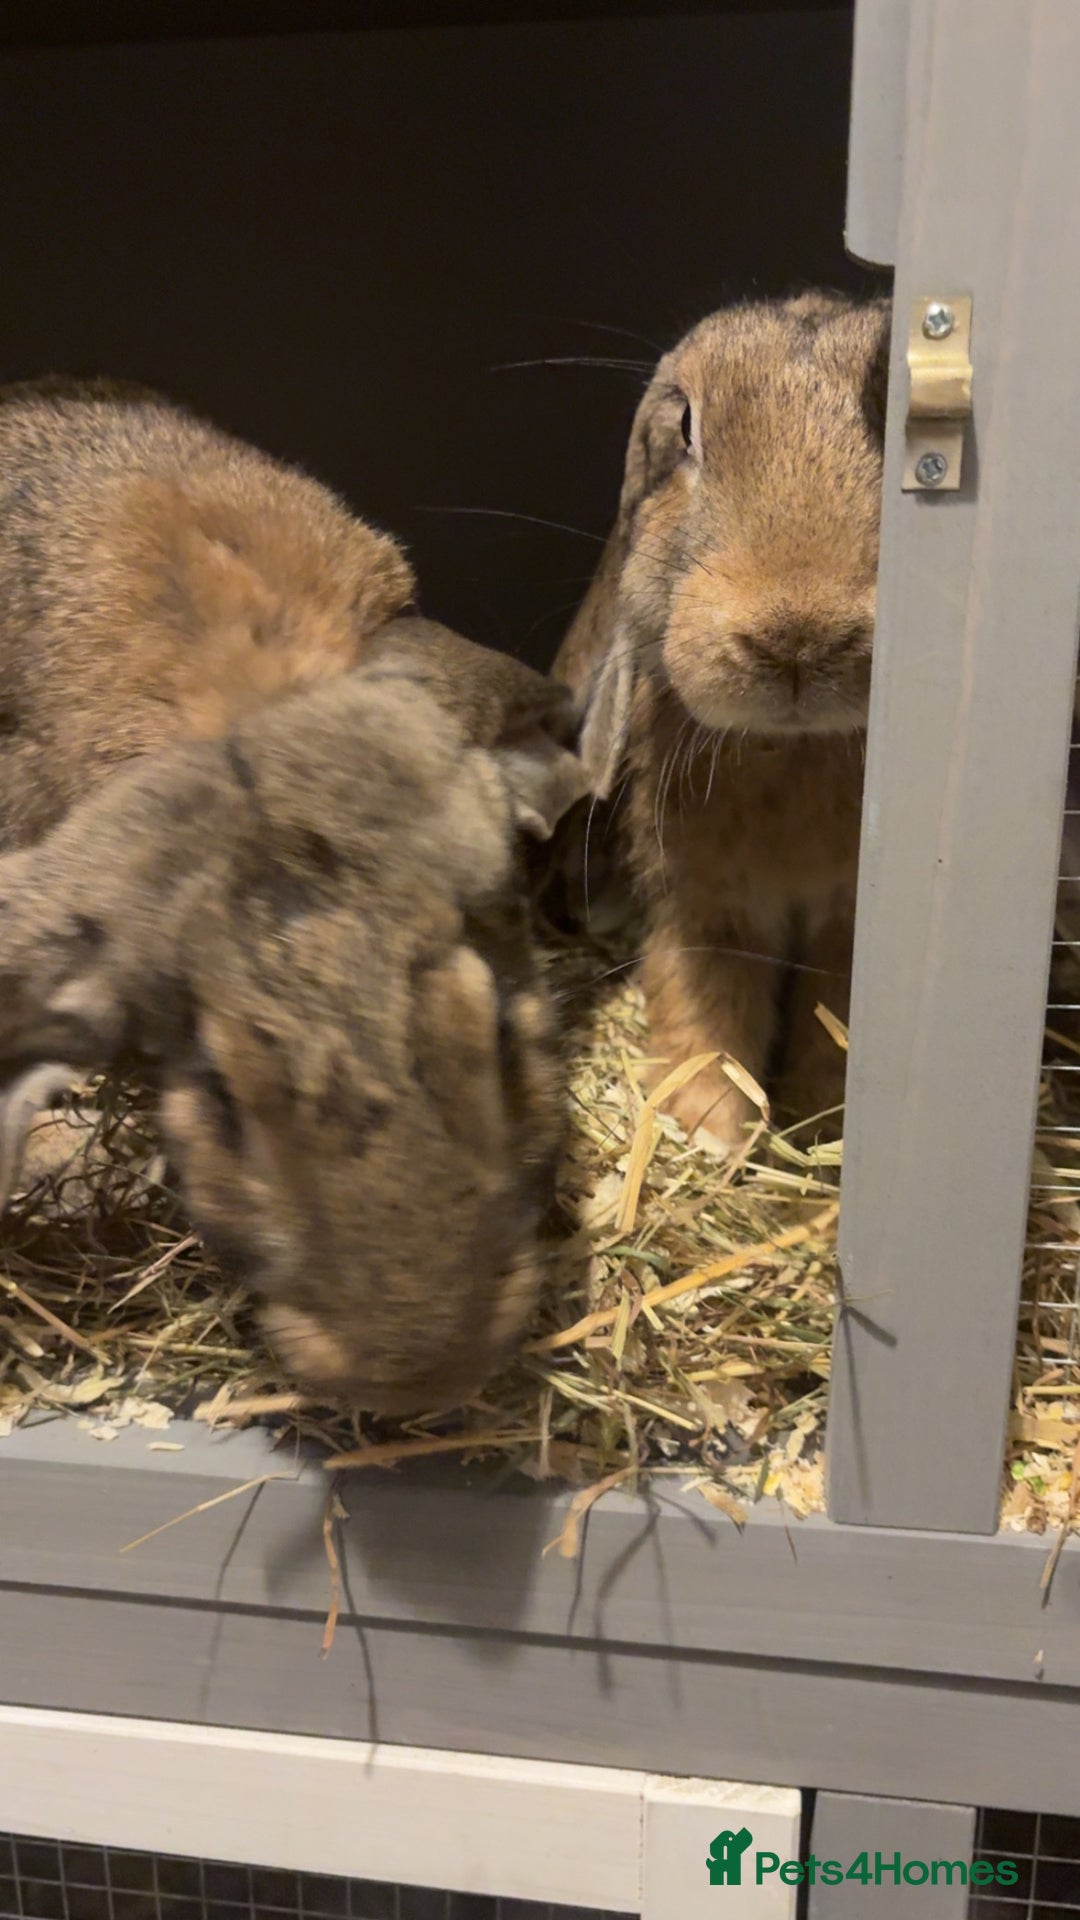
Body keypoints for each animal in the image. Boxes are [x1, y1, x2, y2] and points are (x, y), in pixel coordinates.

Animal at [552, 292, 891, 1153]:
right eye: (684, 427)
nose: (797, 637)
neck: (794, 749)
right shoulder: (704, 906)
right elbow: (705, 1007)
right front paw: (705, 1128)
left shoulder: (844, 924)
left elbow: (832, 1010)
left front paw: (819, 1125)